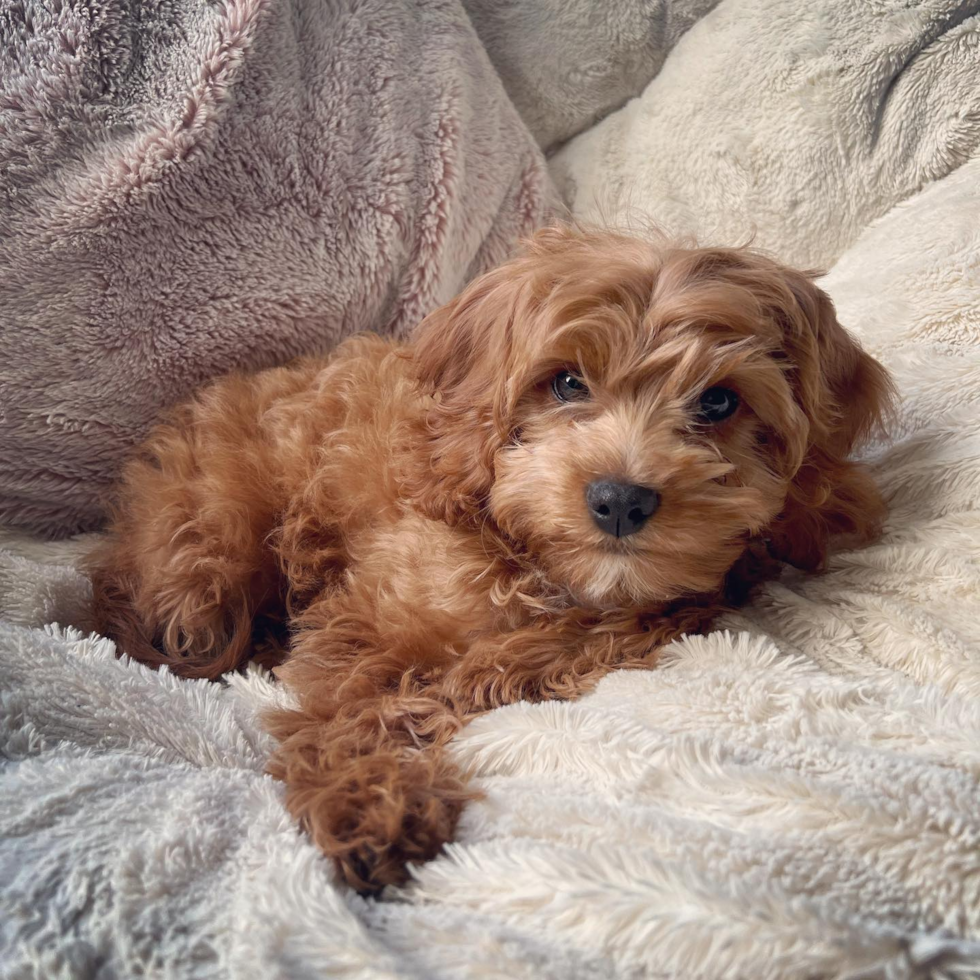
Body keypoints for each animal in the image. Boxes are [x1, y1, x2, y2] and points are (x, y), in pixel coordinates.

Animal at [88, 226, 892, 892]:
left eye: (719, 403)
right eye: (566, 382)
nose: (620, 500)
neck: (527, 557)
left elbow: (571, 640)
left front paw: (468, 682)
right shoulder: (362, 623)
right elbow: (346, 712)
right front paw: (371, 804)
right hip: (208, 559)